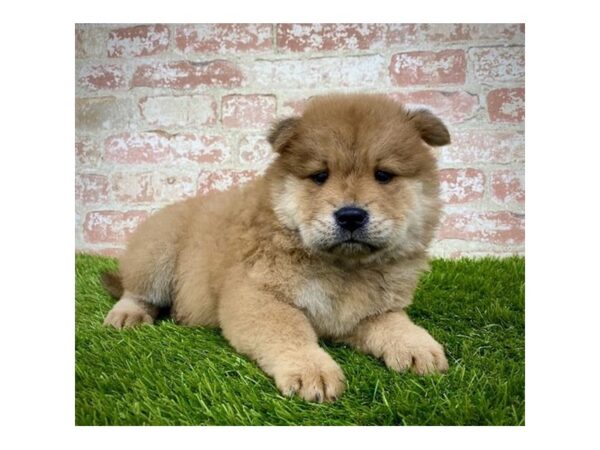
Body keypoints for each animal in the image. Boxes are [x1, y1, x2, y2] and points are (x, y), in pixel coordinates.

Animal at [102, 93, 450, 402]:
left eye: (384, 175)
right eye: (320, 176)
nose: (351, 215)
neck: (343, 268)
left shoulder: (365, 313)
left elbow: (396, 324)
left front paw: (418, 347)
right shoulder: (257, 296)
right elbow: (290, 332)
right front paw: (312, 370)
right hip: (156, 252)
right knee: (136, 292)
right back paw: (127, 315)